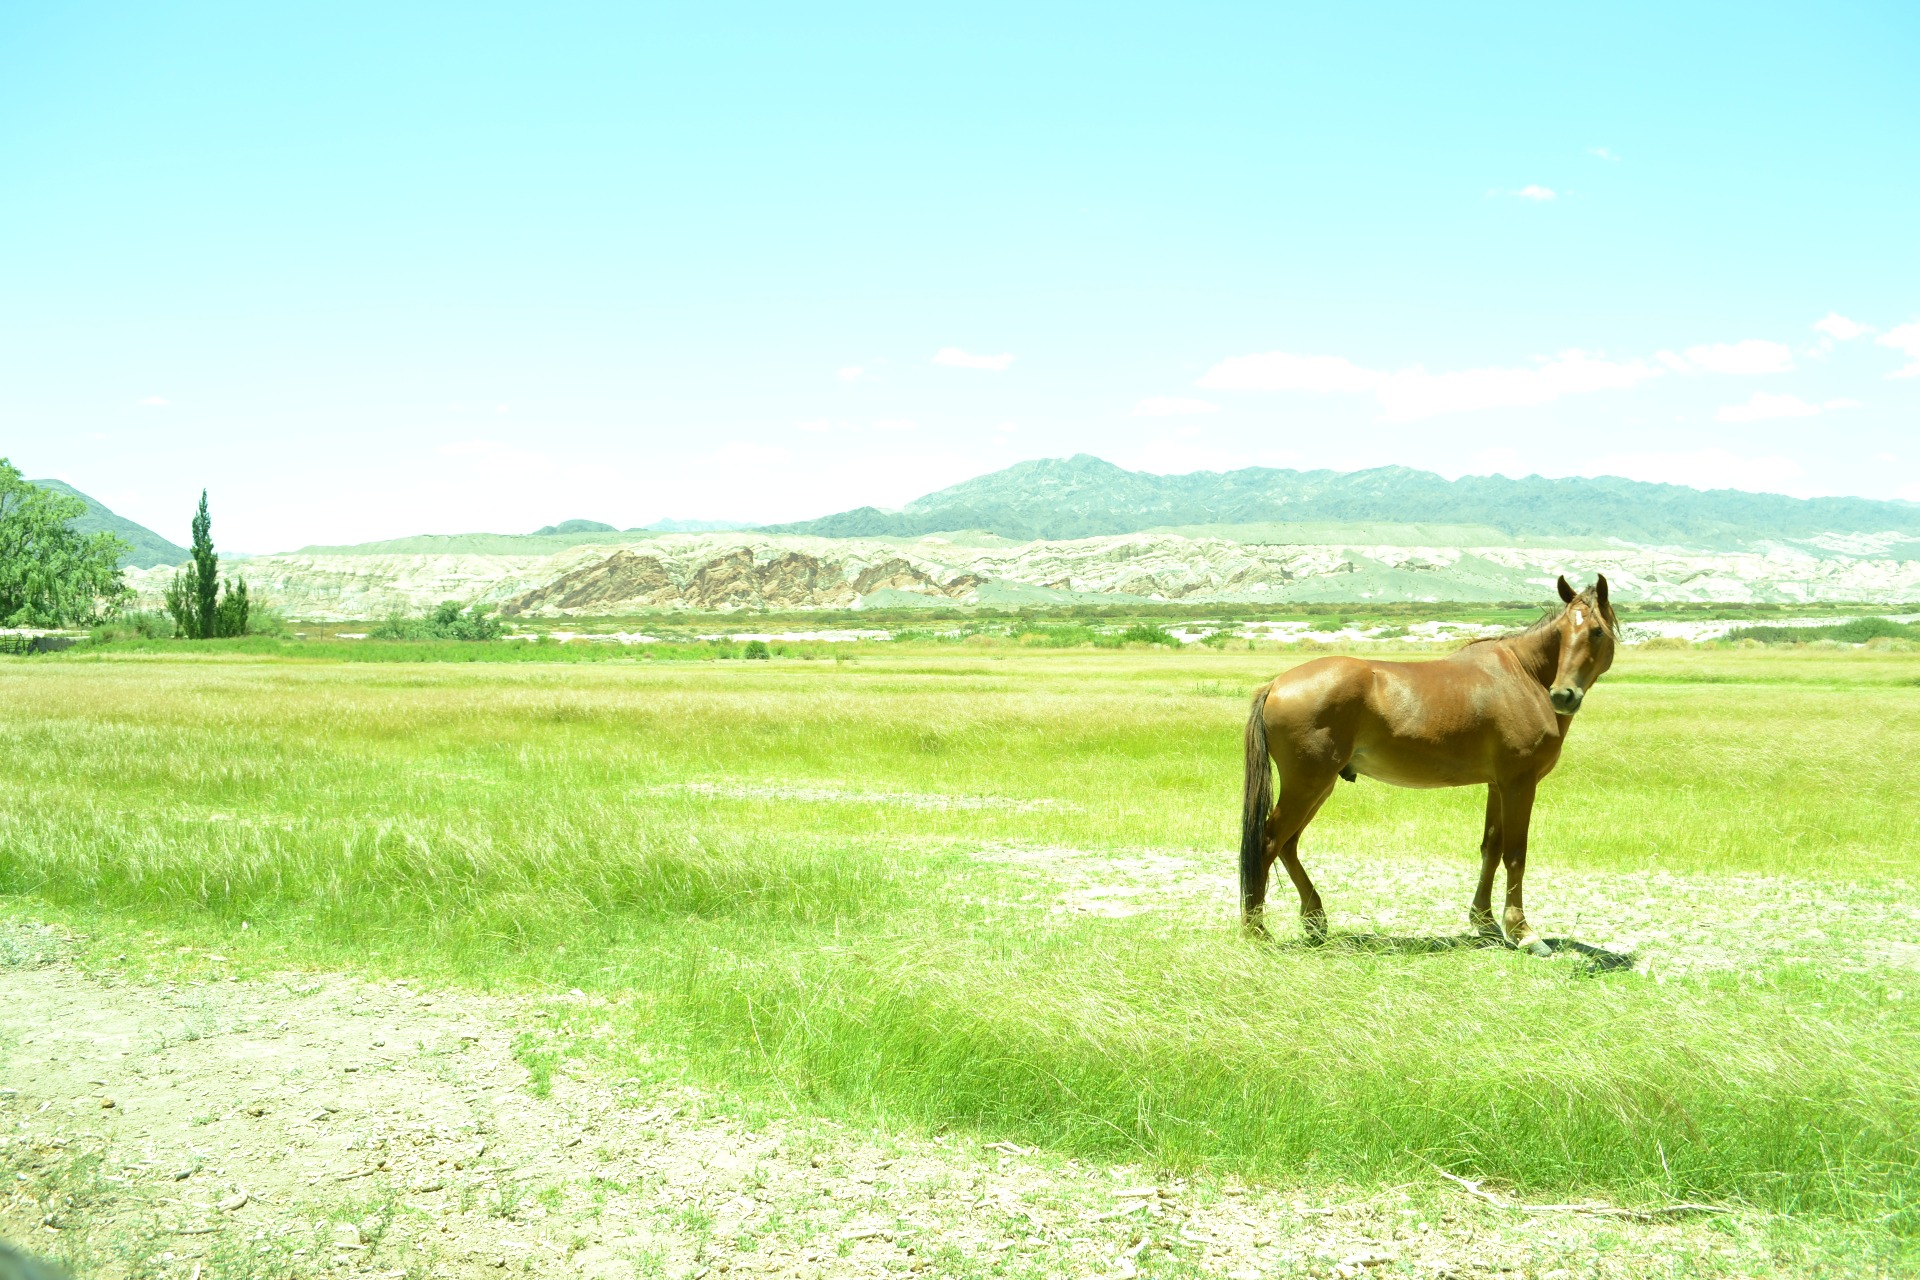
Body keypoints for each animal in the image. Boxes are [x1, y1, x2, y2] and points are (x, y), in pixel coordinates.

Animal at [1239, 575, 1618, 953]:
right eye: (1563, 632)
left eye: (1596, 631)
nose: (1563, 695)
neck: (1524, 677)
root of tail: (1276, 684)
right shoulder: (1519, 784)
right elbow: (1515, 854)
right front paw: (1524, 932)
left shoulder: (1497, 785)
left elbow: (1491, 849)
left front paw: (1485, 923)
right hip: (1308, 784)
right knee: (1269, 842)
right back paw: (1256, 929)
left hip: (1319, 786)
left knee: (1287, 845)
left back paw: (1314, 920)